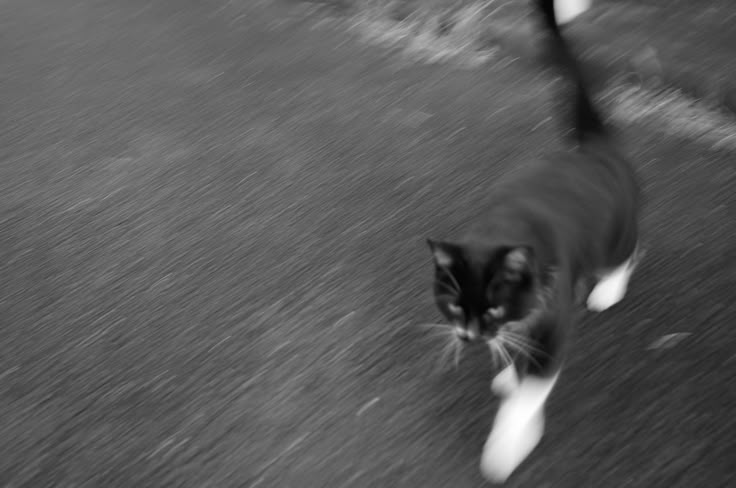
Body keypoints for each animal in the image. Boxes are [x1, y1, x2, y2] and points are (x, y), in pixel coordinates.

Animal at [426, 0, 640, 482]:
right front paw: (508, 372)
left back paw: (608, 290)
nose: (468, 337)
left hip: (614, 232)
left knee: (628, 252)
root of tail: (594, 148)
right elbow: (515, 358)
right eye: (454, 306)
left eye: (491, 308)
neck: (503, 228)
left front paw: (506, 449)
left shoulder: (552, 323)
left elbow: (531, 392)